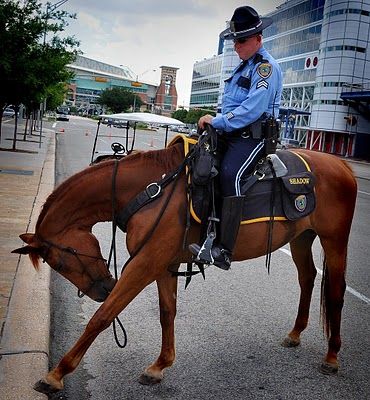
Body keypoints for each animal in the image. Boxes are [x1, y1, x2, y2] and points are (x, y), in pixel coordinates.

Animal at [13, 143, 356, 394]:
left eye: (60, 260)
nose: (102, 290)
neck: (151, 189)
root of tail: (343, 166)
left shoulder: (144, 263)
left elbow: (103, 316)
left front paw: (57, 374)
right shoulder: (164, 264)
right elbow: (167, 312)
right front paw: (160, 366)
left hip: (334, 240)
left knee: (336, 292)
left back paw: (332, 356)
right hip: (301, 237)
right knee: (308, 278)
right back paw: (296, 333)